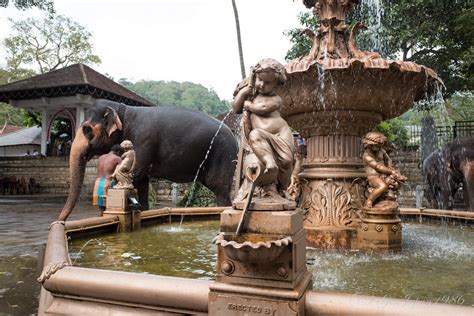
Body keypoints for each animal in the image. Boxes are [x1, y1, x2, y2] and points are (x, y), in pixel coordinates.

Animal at [58, 100, 237, 221]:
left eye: (86, 130)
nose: (61, 222)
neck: (124, 111)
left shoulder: (142, 141)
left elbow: (135, 175)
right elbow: (142, 182)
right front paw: (143, 212)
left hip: (223, 154)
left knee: (220, 189)